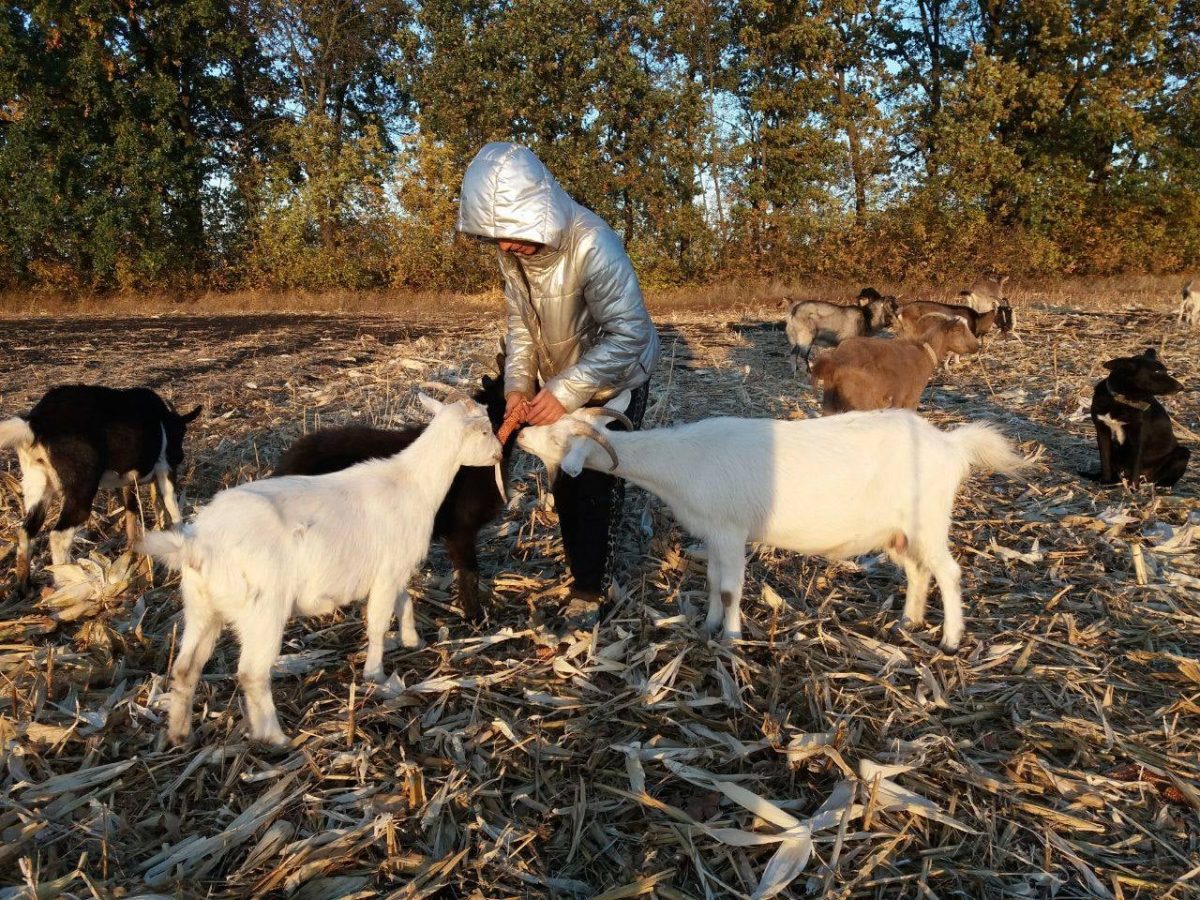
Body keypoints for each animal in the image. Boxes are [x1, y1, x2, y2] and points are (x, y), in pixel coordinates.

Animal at [0, 386, 201, 592]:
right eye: (182, 433)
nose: (180, 457)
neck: (164, 420)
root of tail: (35, 423)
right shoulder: (165, 468)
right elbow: (173, 508)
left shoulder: (126, 482)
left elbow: (132, 514)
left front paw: (132, 551)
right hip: (80, 492)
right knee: (58, 536)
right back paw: (67, 582)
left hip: (38, 487)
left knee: (25, 531)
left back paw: (24, 586)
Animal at [138, 388, 499, 748]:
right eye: (484, 430)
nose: (497, 454)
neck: (414, 482)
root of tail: (198, 543)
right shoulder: (388, 569)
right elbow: (378, 621)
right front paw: (376, 675)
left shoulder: (390, 569)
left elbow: (404, 600)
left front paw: (411, 639)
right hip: (262, 609)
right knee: (252, 672)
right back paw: (275, 737)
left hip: (202, 604)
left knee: (186, 667)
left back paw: (179, 733)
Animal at [516, 400, 1032, 657]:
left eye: (560, 437)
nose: (520, 432)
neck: (681, 460)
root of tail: (950, 444)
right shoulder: (714, 533)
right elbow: (712, 582)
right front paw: (707, 626)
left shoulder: (730, 530)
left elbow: (730, 588)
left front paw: (731, 639)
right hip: (898, 531)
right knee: (917, 571)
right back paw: (908, 621)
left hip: (929, 521)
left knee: (948, 572)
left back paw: (950, 639)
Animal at [811, 316, 979, 415]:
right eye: (957, 330)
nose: (977, 346)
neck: (925, 352)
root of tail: (835, 361)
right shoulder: (911, 398)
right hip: (861, 402)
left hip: (830, 401)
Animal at [1089, 348, 1190, 489]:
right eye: (1158, 371)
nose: (1181, 387)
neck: (1123, 400)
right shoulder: (1102, 432)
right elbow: (1105, 461)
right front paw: (1105, 481)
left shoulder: (1139, 438)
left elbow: (1135, 467)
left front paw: (1133, 489)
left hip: (1183, 453)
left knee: (1164, 479)